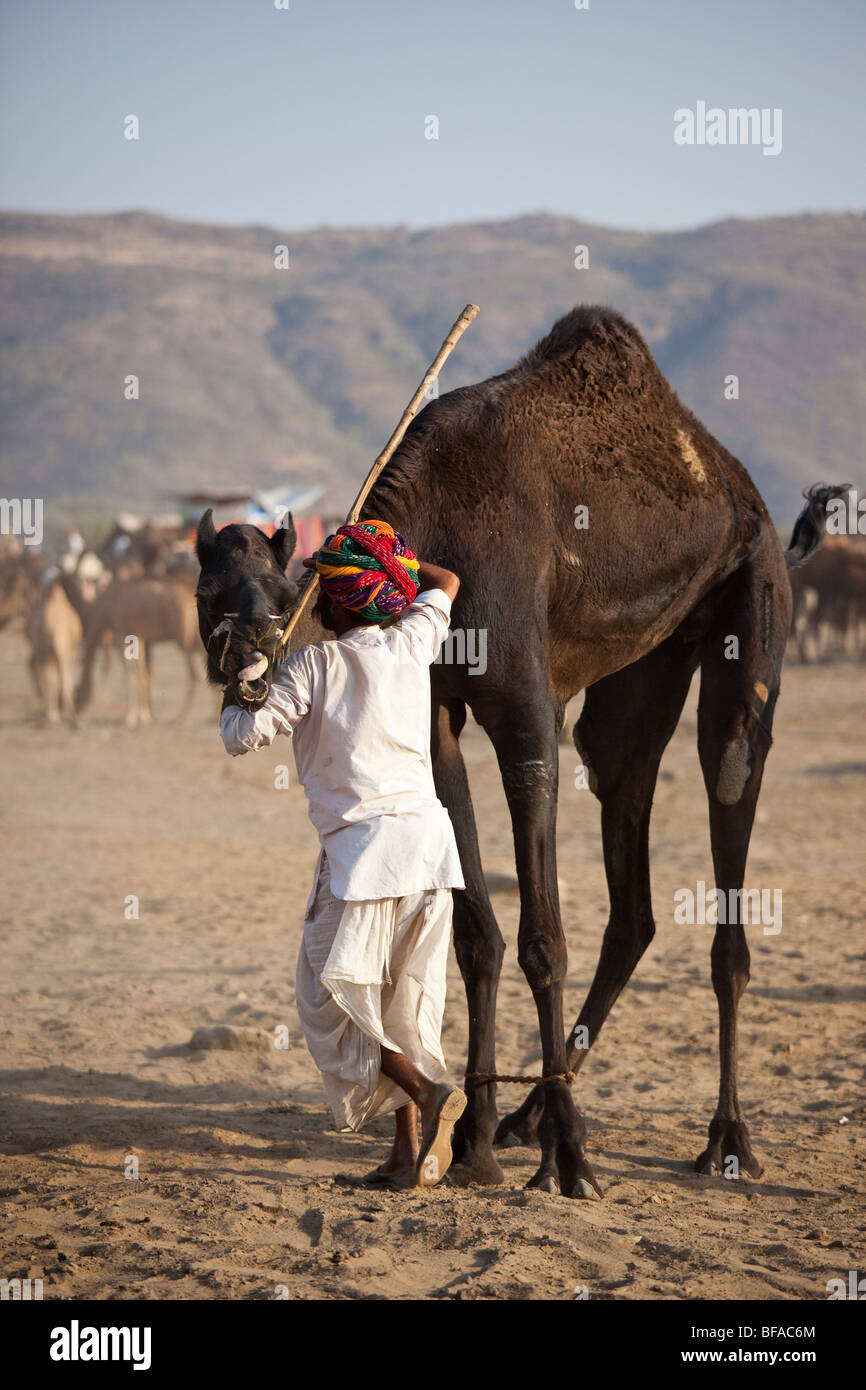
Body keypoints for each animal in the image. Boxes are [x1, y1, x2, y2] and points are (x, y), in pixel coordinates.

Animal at [76, 576, 200, 728]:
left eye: (76, 690)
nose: (77, 709)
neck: (107, 602)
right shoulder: (138, 636)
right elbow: (142, 673)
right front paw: (144, 716)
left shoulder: (121, 633)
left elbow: (130, 674)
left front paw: (130, 718)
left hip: (185, 643)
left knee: (195, 676)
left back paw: (181, 718)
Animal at [195, 305, 844, 1198]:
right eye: (205, 594)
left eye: (272, 597)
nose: (246, 668)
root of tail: (743, 493)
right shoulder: (435, 709)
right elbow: (476, 933)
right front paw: (472, 1137)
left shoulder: (525, 712)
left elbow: (544, 938)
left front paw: (569, 1158)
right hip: (644, 667)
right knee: (630, 858)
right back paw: (530, 1111)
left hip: (753, 594)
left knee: (733, 782)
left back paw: (726, 1138)